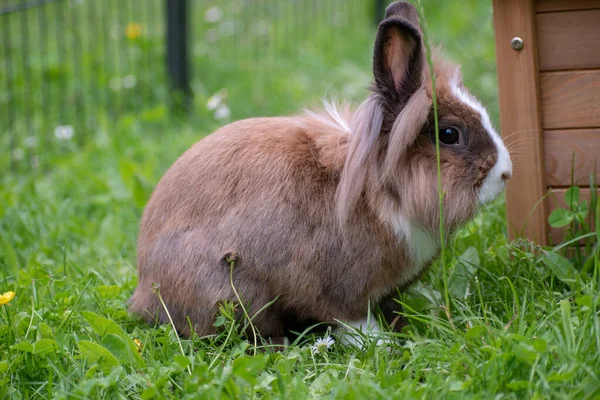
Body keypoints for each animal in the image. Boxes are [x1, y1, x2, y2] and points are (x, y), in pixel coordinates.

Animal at [130, 0, 510, 344]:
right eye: (449, 134)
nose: (505, 173)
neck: (381, 192)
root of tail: (144, 290)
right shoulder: (338, 290)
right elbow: (353, 321)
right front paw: (383, 346)